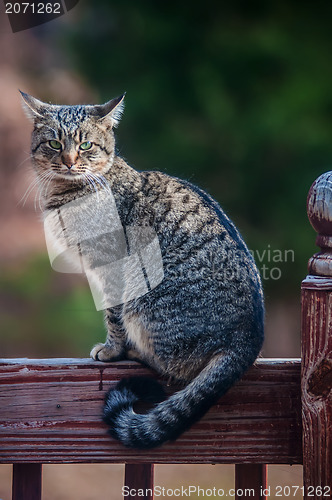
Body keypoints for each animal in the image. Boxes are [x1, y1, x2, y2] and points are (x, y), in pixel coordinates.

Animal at [20, 90, 264, 450]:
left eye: (86, 145)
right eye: (54, 143)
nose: (68, 161)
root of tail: (248, 339)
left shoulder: (110, 266)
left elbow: (112, 314)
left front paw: (111, 350)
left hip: (146, 298)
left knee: (175, 366)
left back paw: (136, 352)